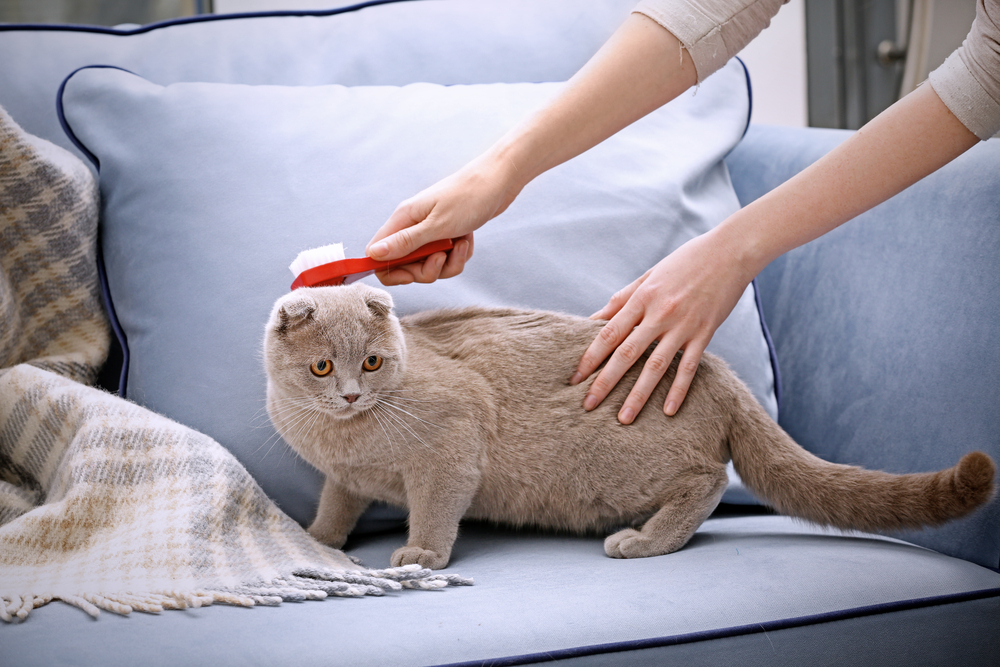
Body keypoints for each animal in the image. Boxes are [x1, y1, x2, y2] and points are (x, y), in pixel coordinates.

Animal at [262, 284, 996, 572]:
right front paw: (318, 537)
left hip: (611, 461)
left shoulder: (452, 441)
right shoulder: (345, 478)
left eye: (372, 361)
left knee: (707, 479)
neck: (344, 437)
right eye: (322, 365)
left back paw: (641, 541)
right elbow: (337, 502)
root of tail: (714, 368)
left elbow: (436, 506)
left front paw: (420, 554)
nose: (351, 393)